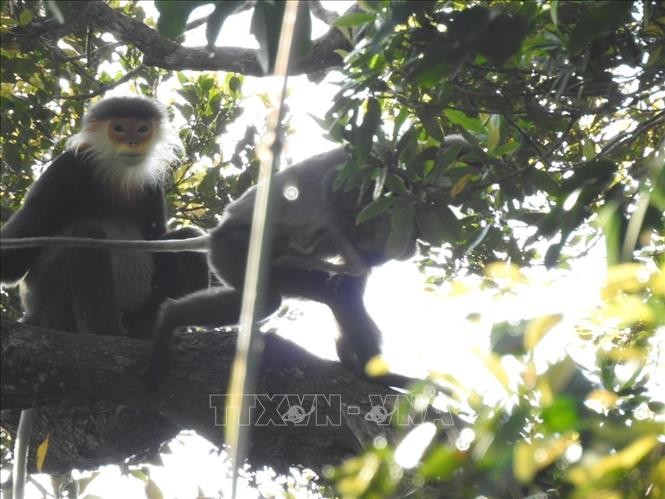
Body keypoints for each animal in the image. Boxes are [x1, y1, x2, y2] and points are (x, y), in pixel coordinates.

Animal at [0, 95, 208, 498]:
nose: (133, 142)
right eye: (119, 128)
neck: (116, 174)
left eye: (141, 128)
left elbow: (162, 239)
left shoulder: (151, 189)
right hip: (53, 306)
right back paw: (108, 337)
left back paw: (148, 328)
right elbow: (13, 263)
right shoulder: (65, 170)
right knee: (89, 235)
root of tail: (35, 316)